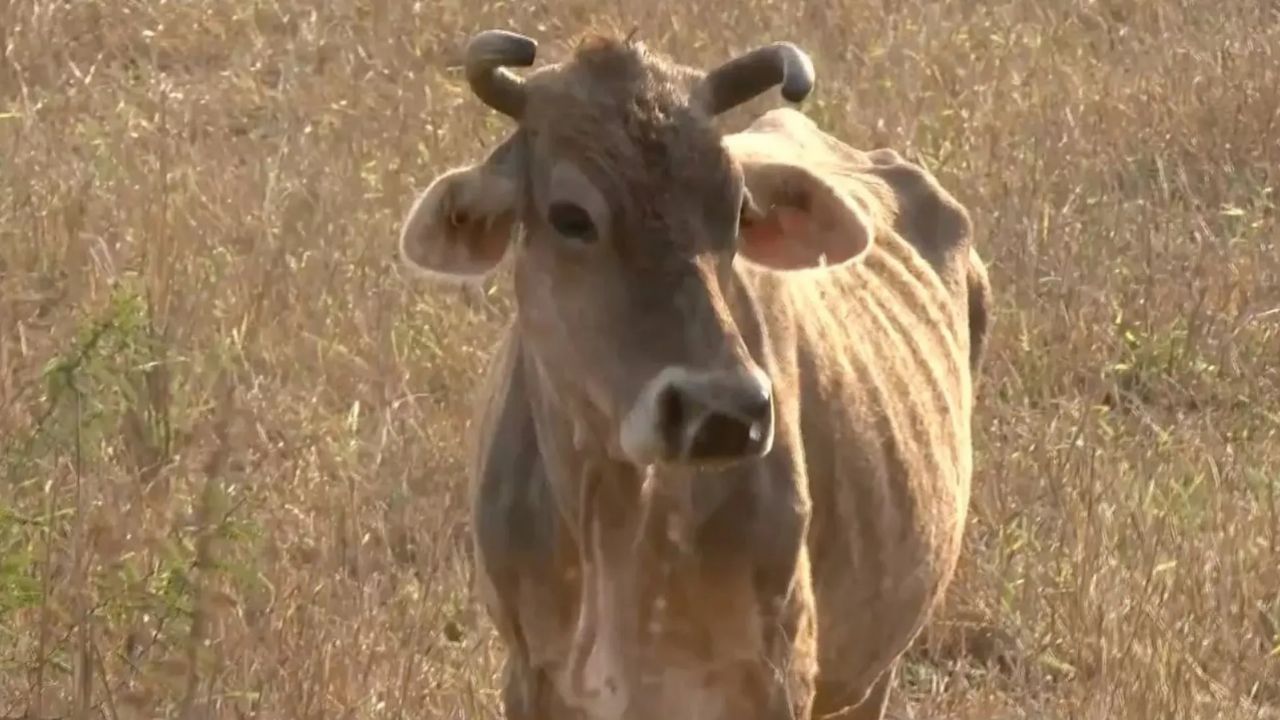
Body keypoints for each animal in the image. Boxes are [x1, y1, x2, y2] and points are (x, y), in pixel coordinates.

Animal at [398, 29, 991, 720]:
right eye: (571, 216)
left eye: (737, 210)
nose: (721, 412)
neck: (617, 525)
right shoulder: (529, 676)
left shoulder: (779, 675)